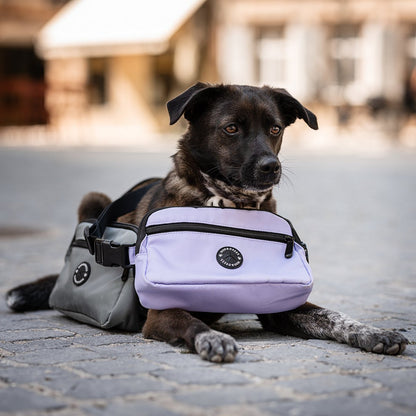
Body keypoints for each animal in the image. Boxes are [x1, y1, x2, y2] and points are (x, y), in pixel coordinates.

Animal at [5, 83, 410, 362]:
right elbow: (190, 321)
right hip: (93, 199)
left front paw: (373, 332)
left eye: (275, 129)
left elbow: (334, 316)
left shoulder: (282, 308)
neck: (229, 203)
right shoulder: (160, 313)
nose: (271, 167)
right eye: (231, 128)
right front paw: (212, 338)